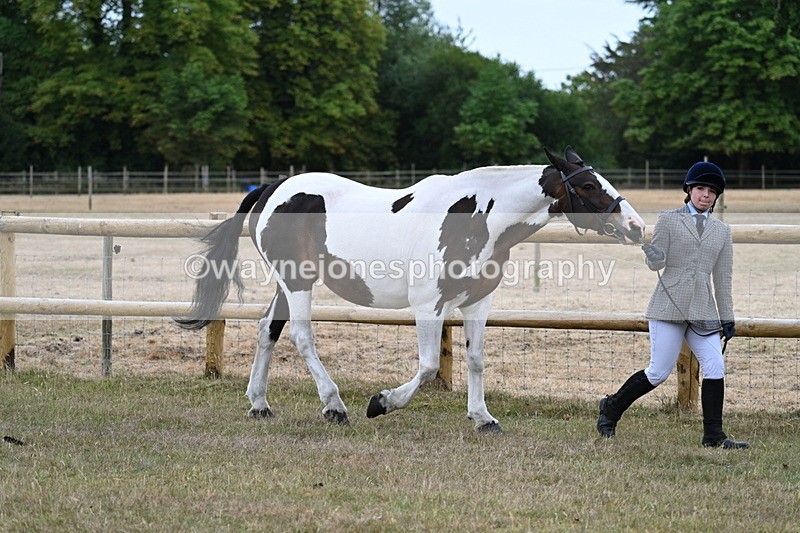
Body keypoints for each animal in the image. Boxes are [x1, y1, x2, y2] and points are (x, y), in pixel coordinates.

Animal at [175, 146, 645, 432]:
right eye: (588, 185)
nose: (637, 227)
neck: (477, 217)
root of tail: (271, 188)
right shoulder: (428, 306)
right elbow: (428, 366)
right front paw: (381, 402)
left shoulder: (478, 302)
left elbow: (476, 360)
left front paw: (483, 417)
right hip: (298, 280)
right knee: (301, 336)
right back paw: (335, 406)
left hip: (287, 282)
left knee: (267, 330)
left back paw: (259, 403)